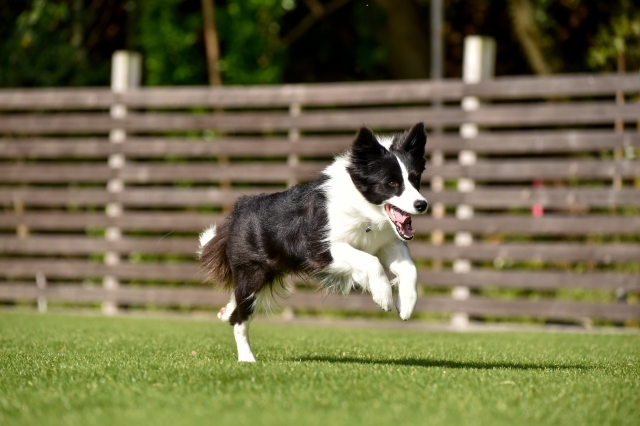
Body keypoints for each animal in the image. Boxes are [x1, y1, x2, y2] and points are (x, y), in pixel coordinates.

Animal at [199, 121, 430, 362]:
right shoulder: (321, 249)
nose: (422, 204)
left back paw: (226, 312)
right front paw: (383, 296)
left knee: (236, 308)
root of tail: (238, 210)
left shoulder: (387, 243)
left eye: (415, 179)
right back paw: (247, 358)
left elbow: (409, 268)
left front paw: (406, 304)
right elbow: (370, 261)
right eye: (392, 183)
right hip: (252, 274)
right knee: (240, 320)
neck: (364, 207)